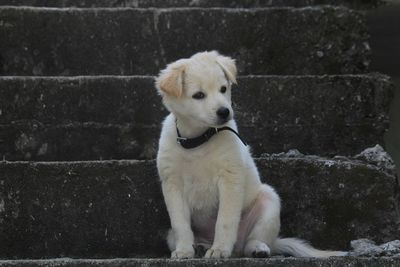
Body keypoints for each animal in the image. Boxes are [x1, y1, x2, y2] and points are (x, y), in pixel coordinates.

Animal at [155, 50, 346, 260]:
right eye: (198, 95)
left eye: (223, 89)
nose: (224, 112)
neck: (199, 140)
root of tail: (237, 249)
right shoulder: (173, 184)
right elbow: (180, 223)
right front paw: (184, 250)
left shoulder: (230, 179)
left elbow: (225, 220)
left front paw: (219, 249)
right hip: (170, 234)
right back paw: (200, 246)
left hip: (268, 201)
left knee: (254, 239)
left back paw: (256, 248)